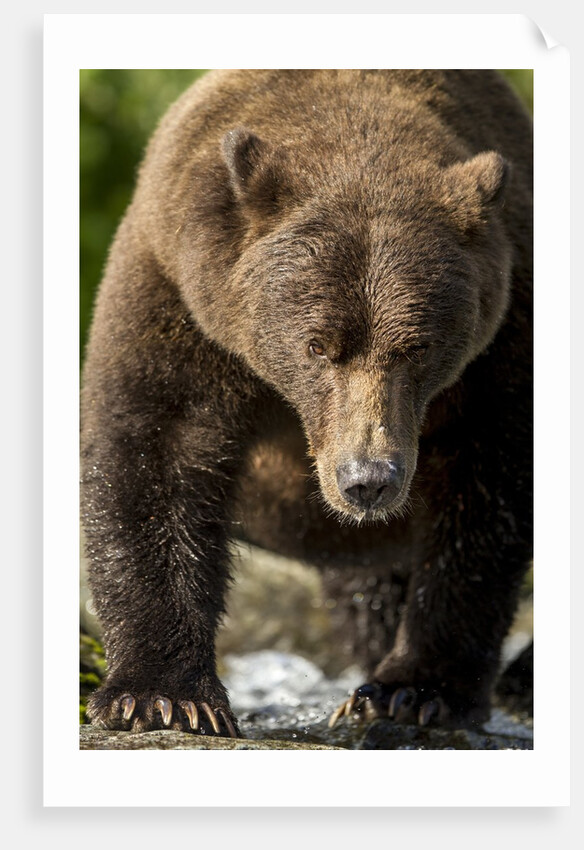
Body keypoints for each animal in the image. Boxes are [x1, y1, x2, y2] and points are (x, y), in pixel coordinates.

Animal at [81, 70, 532, 737]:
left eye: (417, 346)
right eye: (317, 344)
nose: (368, 480)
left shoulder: (499, 338)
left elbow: (487, 486)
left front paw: (416, 690)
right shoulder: (181, 297)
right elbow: (154, 450)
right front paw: (162, 697)